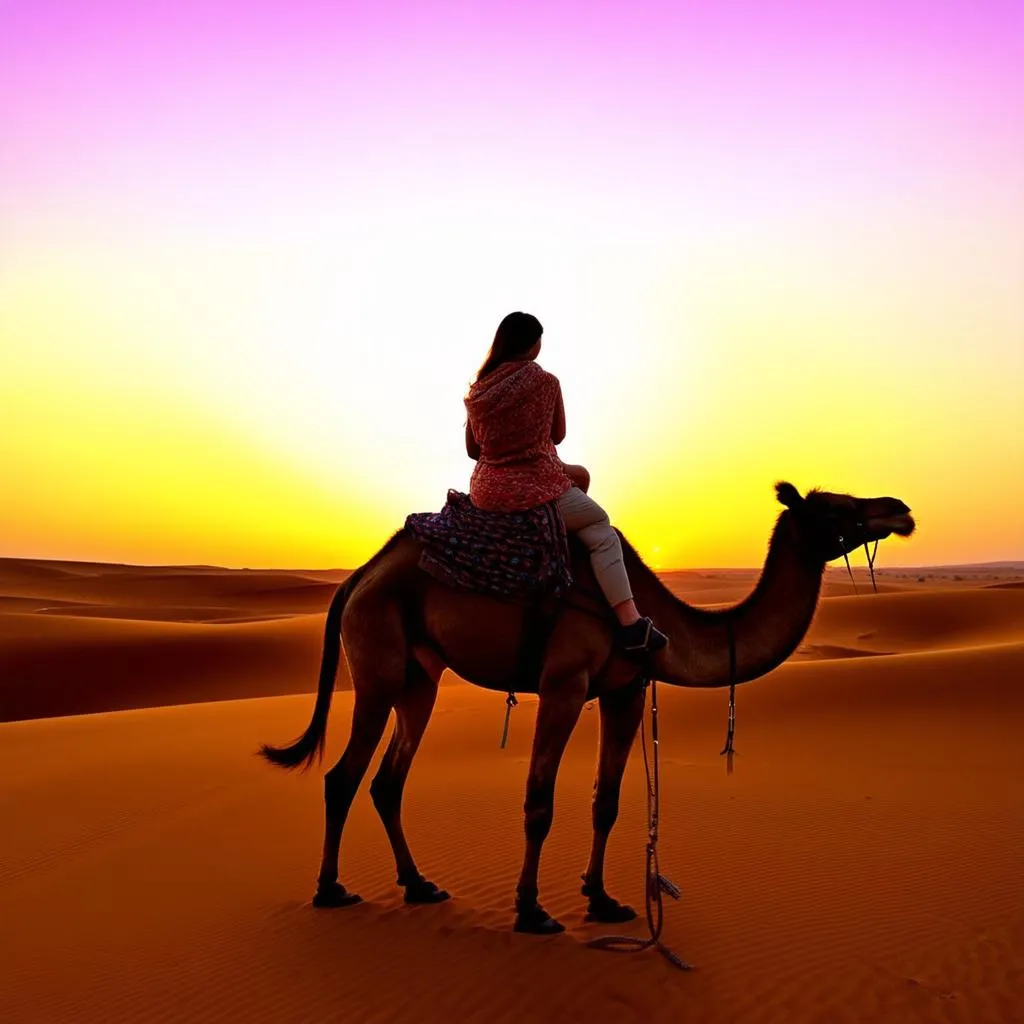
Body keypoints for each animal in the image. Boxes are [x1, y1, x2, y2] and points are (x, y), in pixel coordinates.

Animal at [260, 483, 917, 933]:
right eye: (836, 507)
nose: (900, 508)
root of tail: (359, 578)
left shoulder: (625, 689)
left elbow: (609, 802)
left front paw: (602, 900)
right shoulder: (565, 681)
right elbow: (539, 801)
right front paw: (530, 910)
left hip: (420, 677)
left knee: (388, 780)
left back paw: (419, 885)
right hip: (375, 665)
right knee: (343, 776)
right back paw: (330, 889)